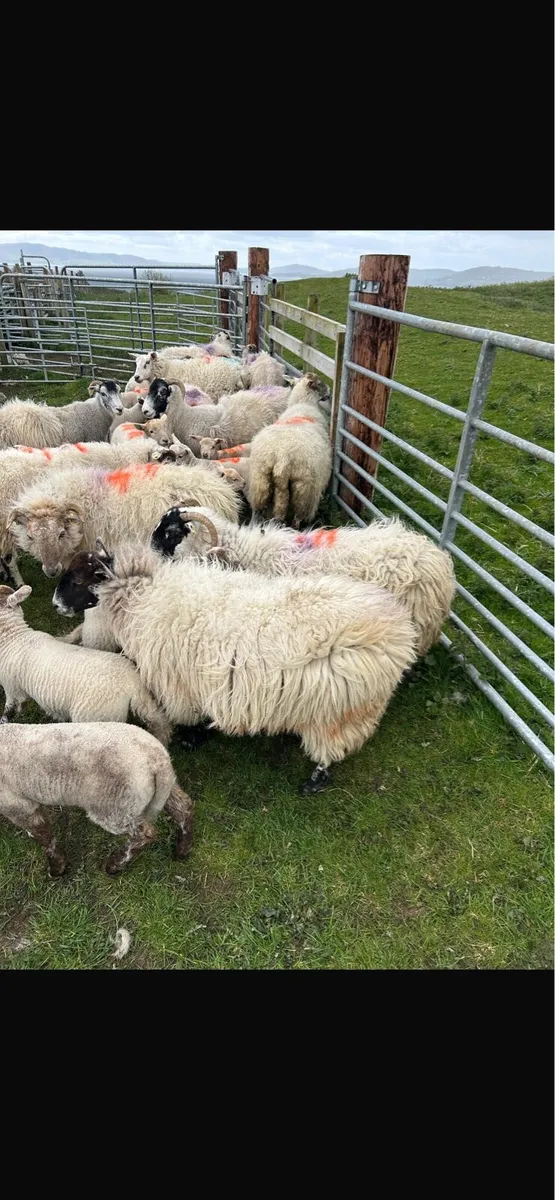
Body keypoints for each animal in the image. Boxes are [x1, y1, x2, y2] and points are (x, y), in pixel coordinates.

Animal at [0, 722, 194, 876]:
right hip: (162, 787)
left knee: (144, 834)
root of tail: (157, 761)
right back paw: (181, 851)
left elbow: (42, 836)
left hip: (114, 806)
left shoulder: (17, 805)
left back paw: (114, 865)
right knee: (183, 807)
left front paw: (57, 868)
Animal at [53, 541, 417, 794]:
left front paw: (192, 738)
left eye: (79, 579)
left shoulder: (180, 684)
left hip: (338, 710)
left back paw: (314, 781)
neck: (142, 597)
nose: (55, 605)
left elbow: (190, 716)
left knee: (330, 748)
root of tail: (398, 630)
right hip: (359, 706)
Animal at [247, 373, 332, 525]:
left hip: (259, 482)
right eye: (320, 383)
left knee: (257, 511)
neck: (303, 404)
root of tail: (281, 458)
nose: (329, 391)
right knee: (296, 518)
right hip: (303, 491)